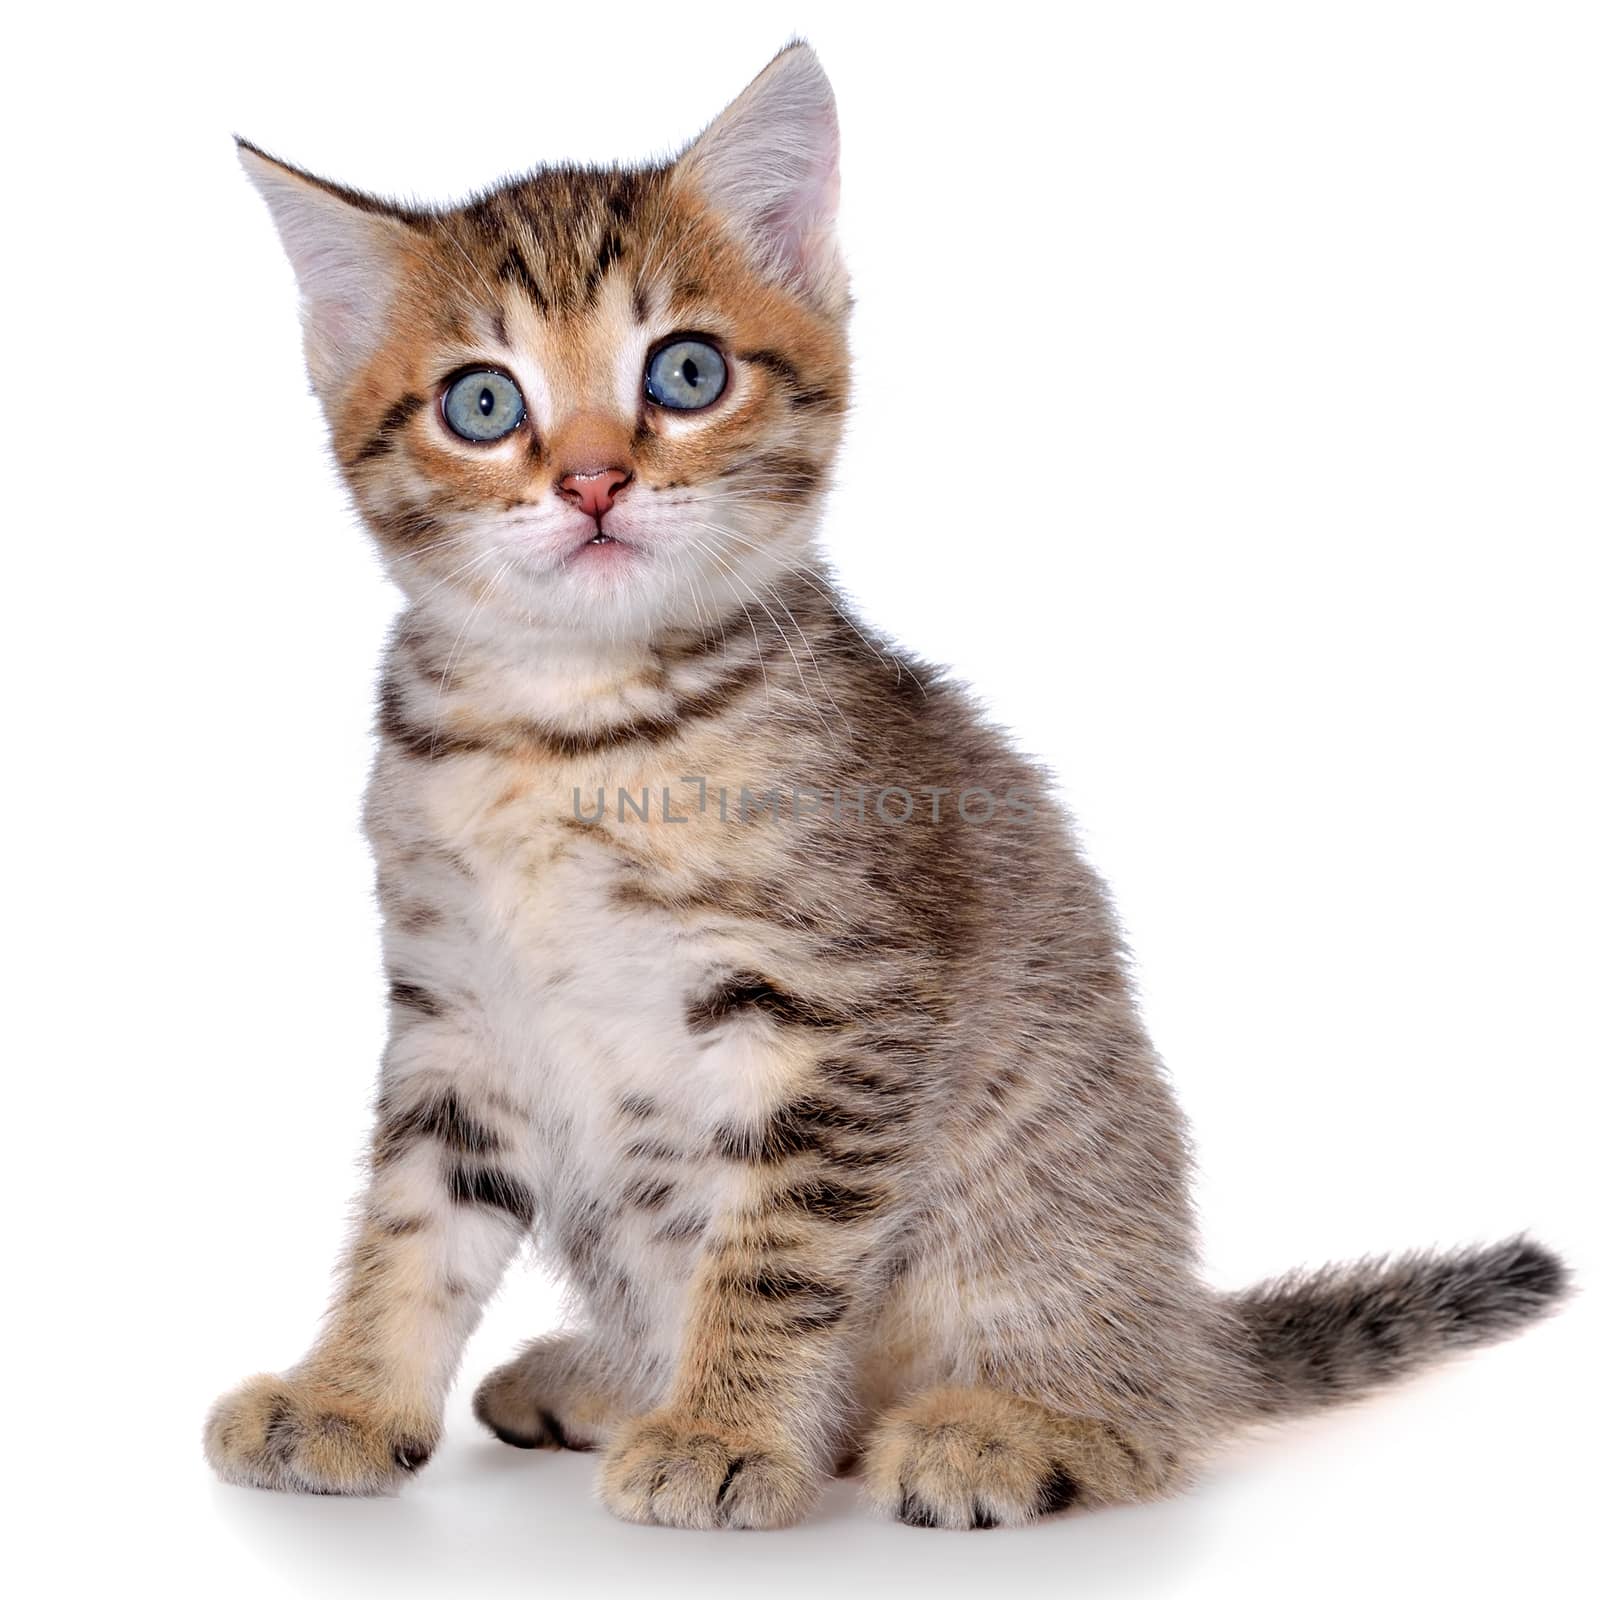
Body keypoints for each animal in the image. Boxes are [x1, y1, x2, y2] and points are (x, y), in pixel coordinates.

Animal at [206, 43, 1568, 1529]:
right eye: (484, 402)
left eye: (685, 371)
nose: (593, 480)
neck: (568, 730)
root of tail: (1185, 1331)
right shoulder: (457, 1016)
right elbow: (414, 1224)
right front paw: (348, 1397)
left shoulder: (840, 1013)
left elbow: (774, 1251)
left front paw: (725, 1431)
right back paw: (608, 1375)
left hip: (1057, 1251)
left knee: (1151, 1426)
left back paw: (1008, 1428)